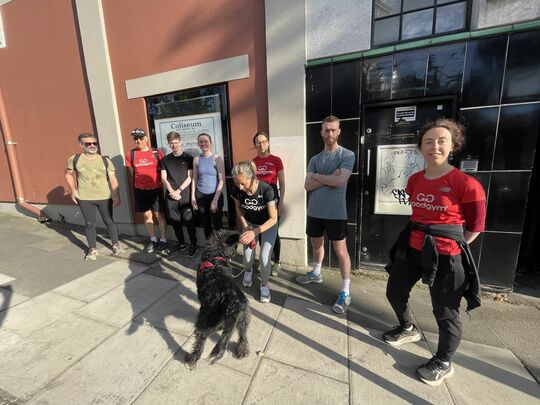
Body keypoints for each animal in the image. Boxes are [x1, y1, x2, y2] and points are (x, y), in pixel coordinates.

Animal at [186, 229, 251, 368]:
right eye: (235, 246)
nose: (235, 252)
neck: (215, 257)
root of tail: (234, 302)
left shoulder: (204, 306)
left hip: (209, 319)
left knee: (201, 338)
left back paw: (192, 358)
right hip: (244, 319)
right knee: (243, 336)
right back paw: (242, 351)